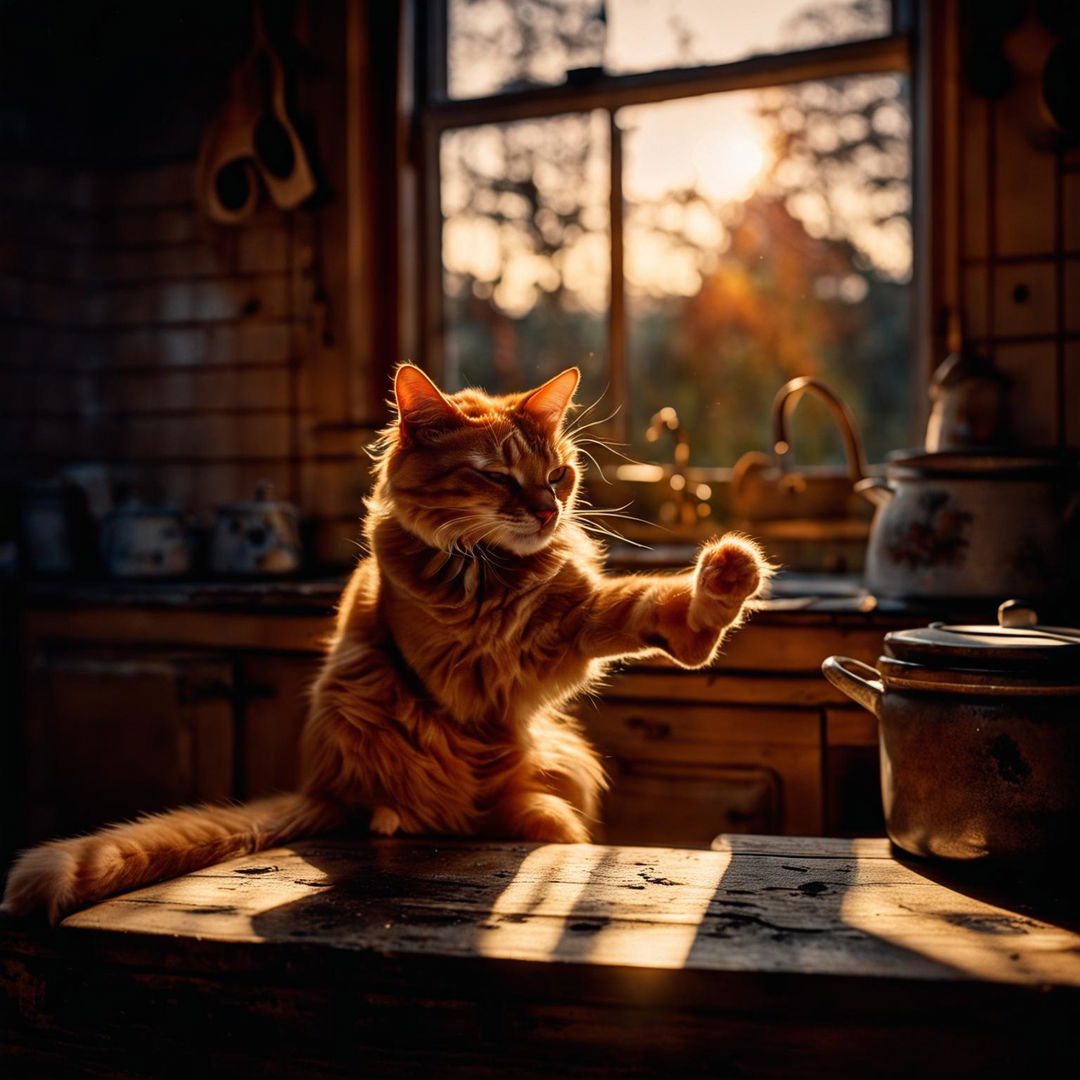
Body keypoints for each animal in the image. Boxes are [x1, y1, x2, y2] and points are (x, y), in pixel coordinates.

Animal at [4, 365, 773, 920]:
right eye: (497, 476)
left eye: (557, 475)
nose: (548, 512)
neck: (490, 575)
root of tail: (317, 784)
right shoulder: (476, 671)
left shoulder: (570, 625)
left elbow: (660, 608)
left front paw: (726, 579)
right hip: (358, 700)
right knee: (415, 810)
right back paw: (396, 818)